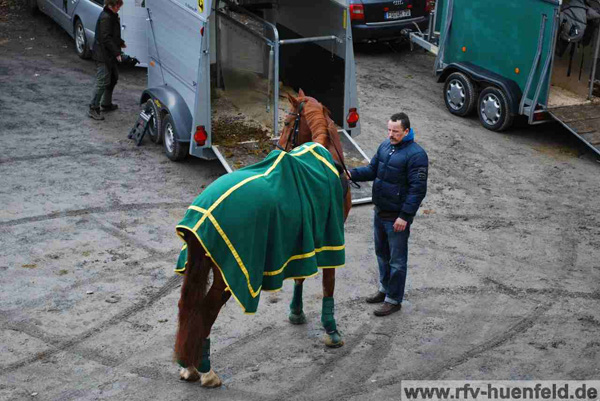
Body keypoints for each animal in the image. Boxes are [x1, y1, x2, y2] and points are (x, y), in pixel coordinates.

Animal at [173, 89, 352, 386]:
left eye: (288, 123)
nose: (278, 147)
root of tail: (205, 210)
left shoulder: (303, 240)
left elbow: (301, 276)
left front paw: (296, 312)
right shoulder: (331, 236)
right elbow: (329, 282)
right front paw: (332, 330)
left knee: (191, 307)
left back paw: (190, 364)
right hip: (227, 274)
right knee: (207, 311)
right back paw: (206, 369)